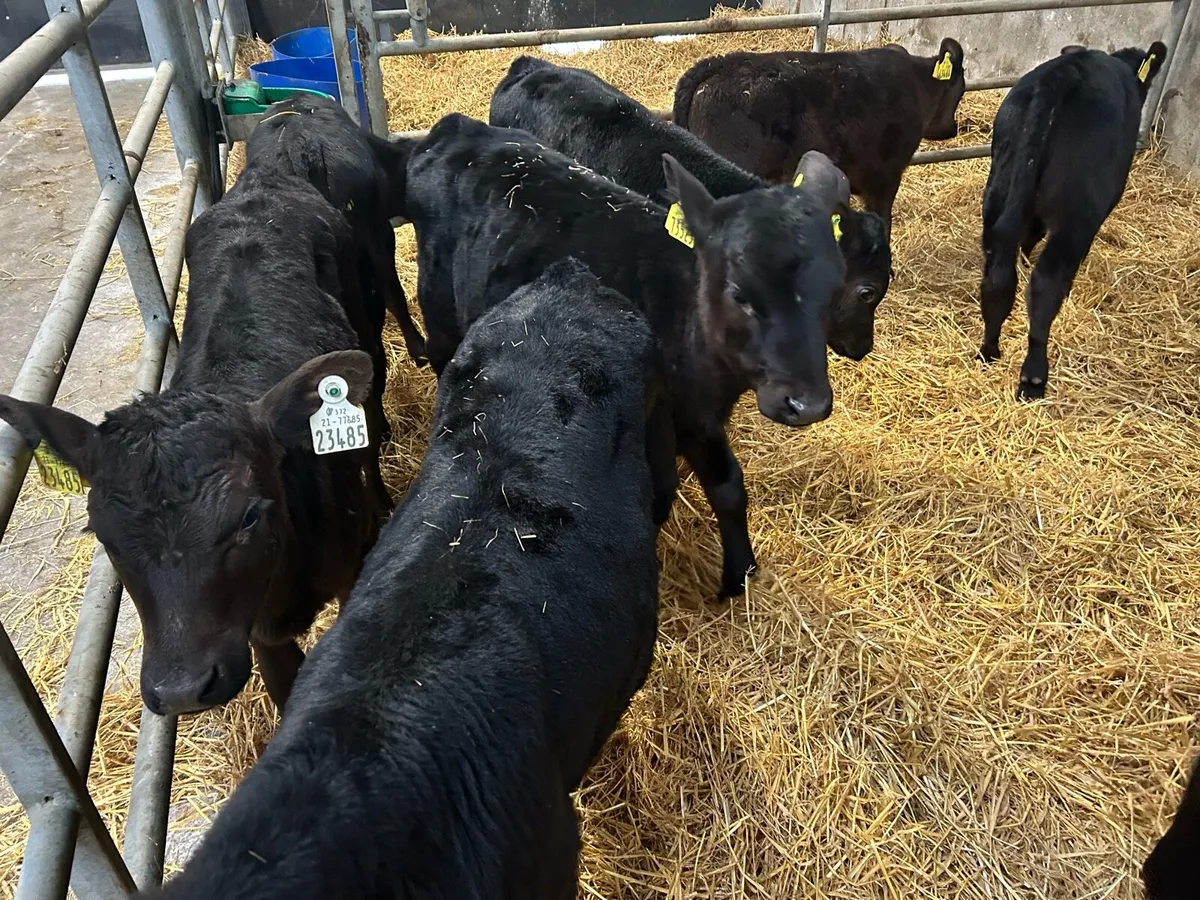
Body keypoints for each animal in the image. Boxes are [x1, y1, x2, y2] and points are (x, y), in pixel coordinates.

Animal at [399, 113, 848, 598]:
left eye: (834, 292)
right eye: (739, 293)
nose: (806, 403)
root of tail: (458, 128)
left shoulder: (700, 418)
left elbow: (728, 485)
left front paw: (738, 575)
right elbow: (658, 497)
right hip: (440, 313)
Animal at [673, 38, 967, 232]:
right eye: (960, 89)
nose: (951, 129)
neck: (917, 86)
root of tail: (718, 65)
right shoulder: (887, 174)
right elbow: (883, 218)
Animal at [977, 41, 1167, 400]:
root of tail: (1067, 73)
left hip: (999, 190)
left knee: (998, 271)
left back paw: (989, 349)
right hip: (1077, 215)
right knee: (1045, 283)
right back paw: (1034, 378)